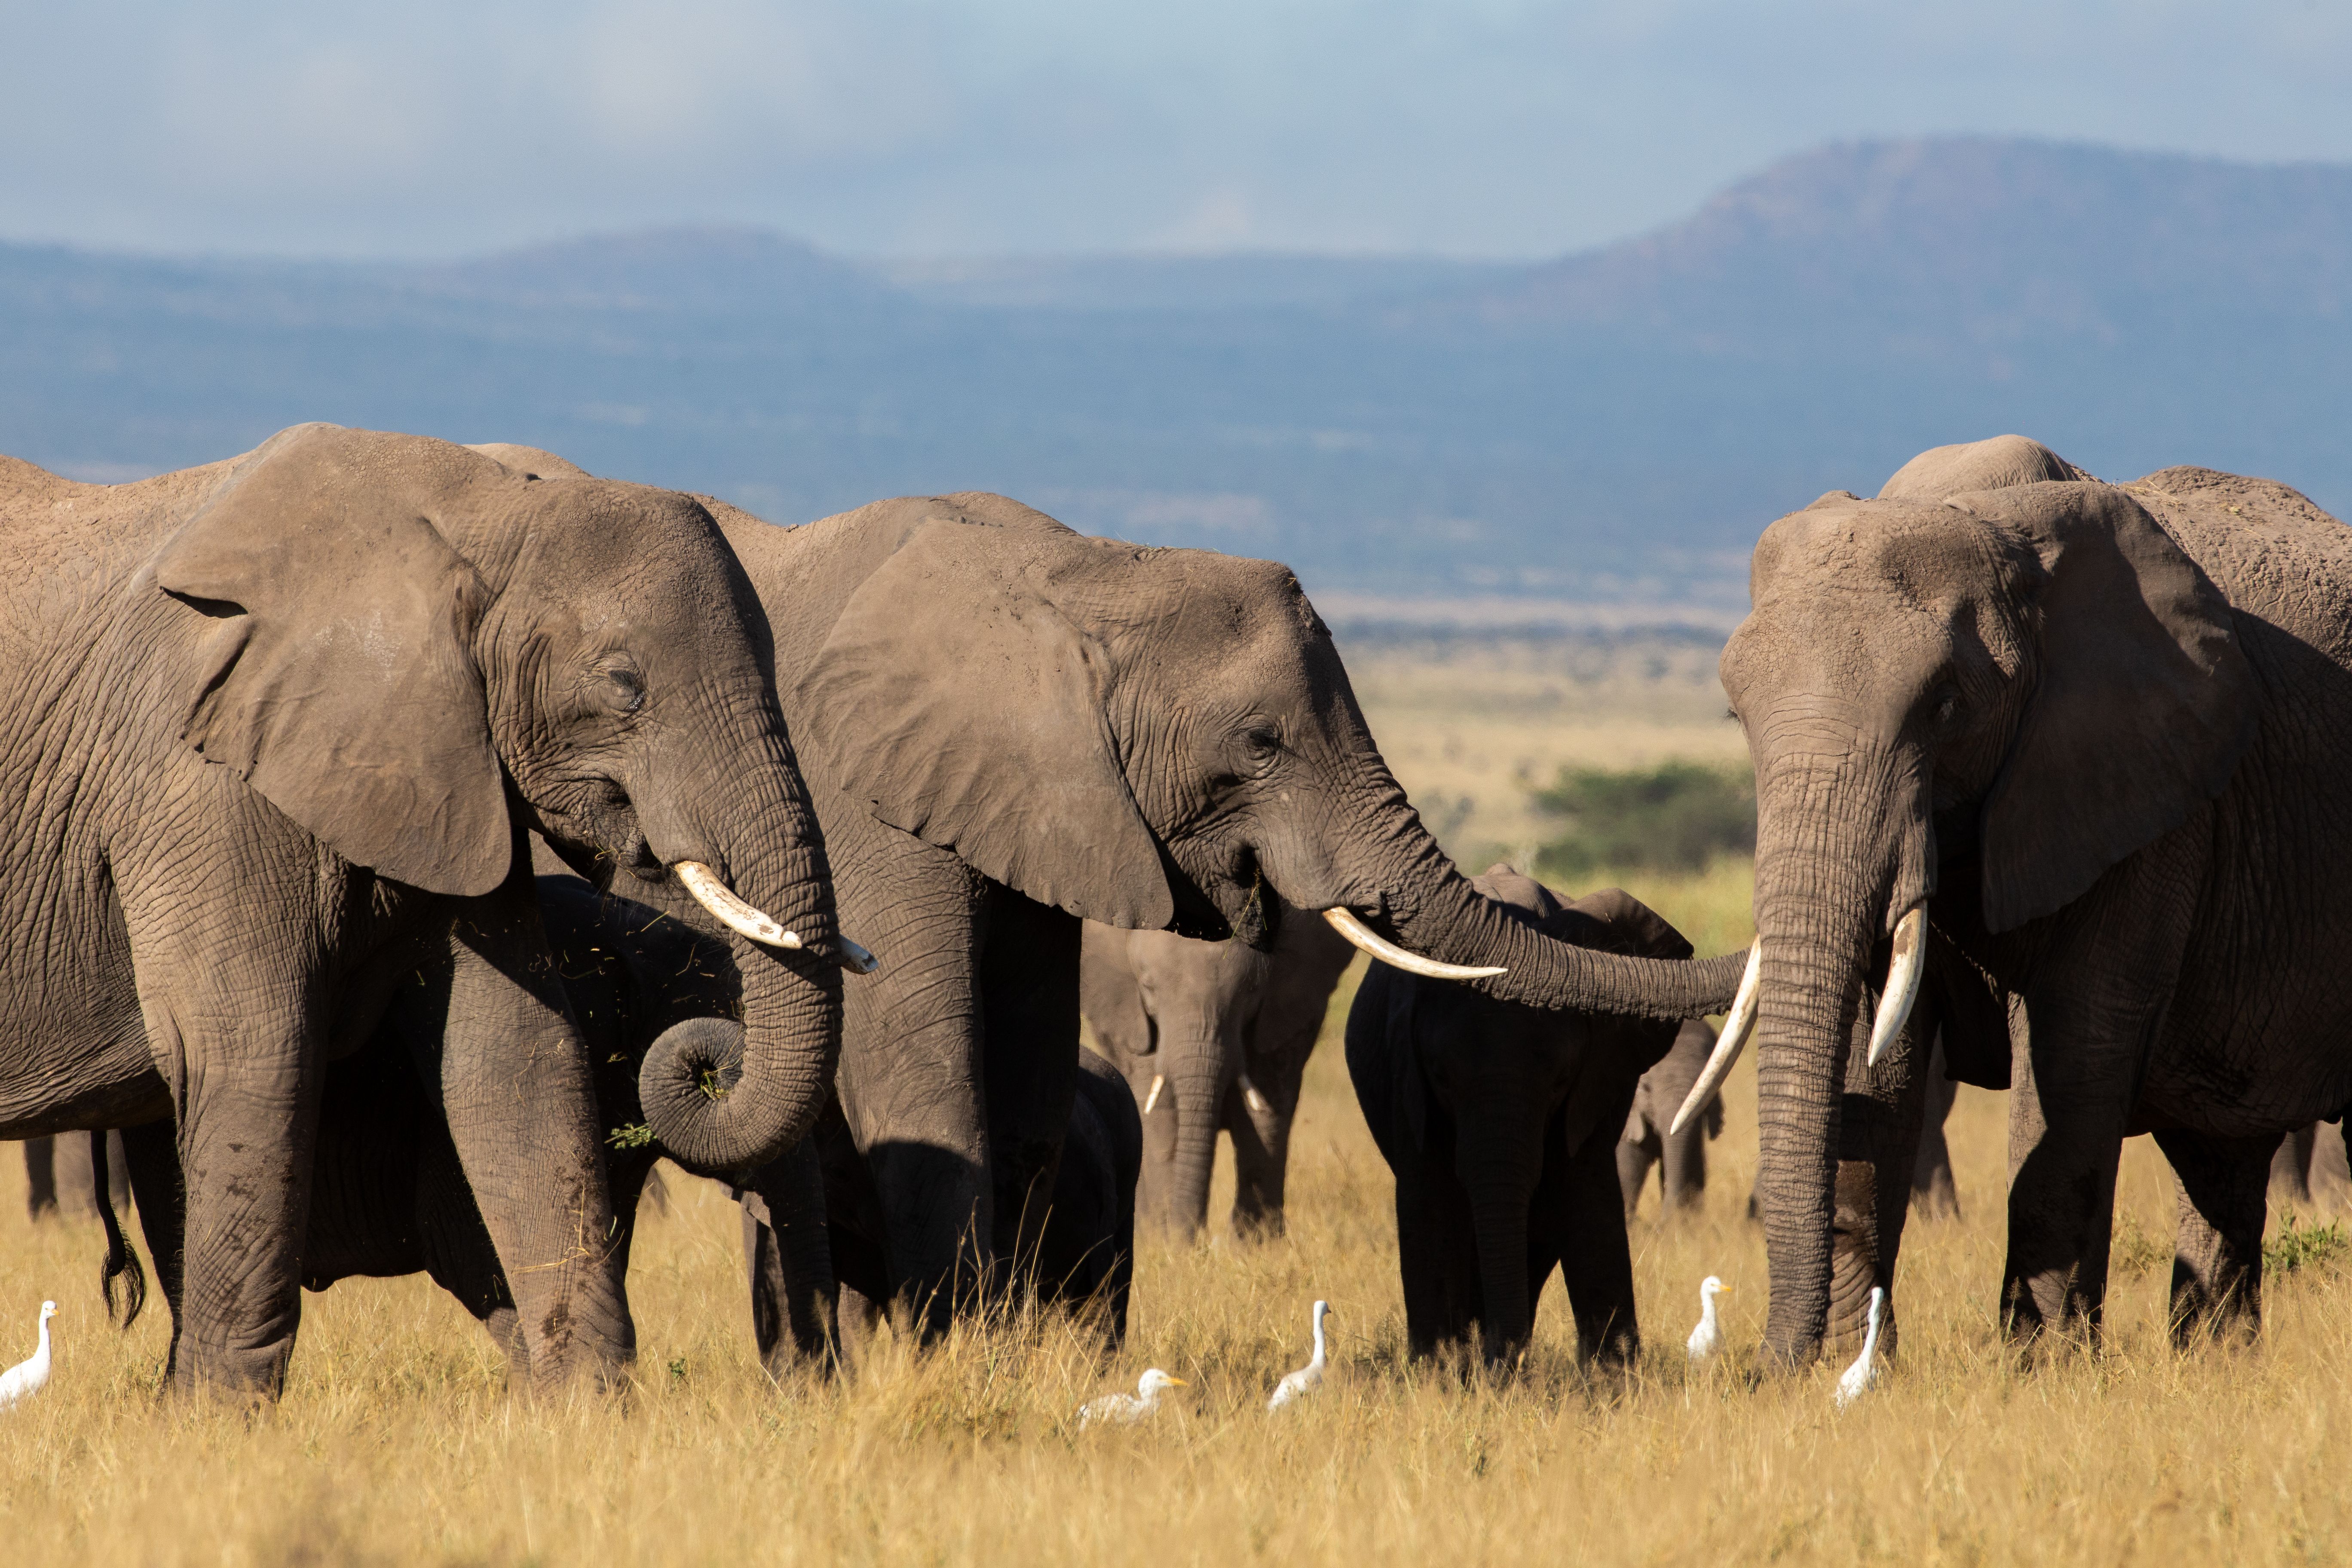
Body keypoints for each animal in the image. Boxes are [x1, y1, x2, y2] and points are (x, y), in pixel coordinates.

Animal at [0, 425, 848, 1396]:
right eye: (624, 684)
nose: (710, 1059)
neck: (487, 510)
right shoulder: (196, 785)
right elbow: (251, 1046)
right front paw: (216, 1420)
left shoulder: (454, 763)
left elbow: (513, 1054)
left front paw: (589, 1405)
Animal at [1079, 897, 1355, 1239]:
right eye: (1148, 987)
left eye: (1252, 990)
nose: (1196, 1239)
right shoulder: (1132, 1020)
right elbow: (1161, 1112)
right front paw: (1166, 1241)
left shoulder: (1280, 1016)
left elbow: (1266, 1111)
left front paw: (1256, 1245)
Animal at [1345, 867, 1697, 1365]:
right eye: (1441, 1077)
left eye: (1561, 1080)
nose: (1499, 1358)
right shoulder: (1406, 1078)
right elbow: (1426, 1196)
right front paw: (1436, 1369)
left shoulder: (1597, 1083)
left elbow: (1588, 1194)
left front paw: (1613, 1376)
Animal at [1701, 432, 2352, 1364]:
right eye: (1736, 714)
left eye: (1945, 705)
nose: (1766, 1363)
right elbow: (1878, 1056)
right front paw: (1854, 1370)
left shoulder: (2148, 794)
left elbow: (2076, 1049)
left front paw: (2039, 1369)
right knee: (2221, 1156)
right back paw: (2215, 1360)